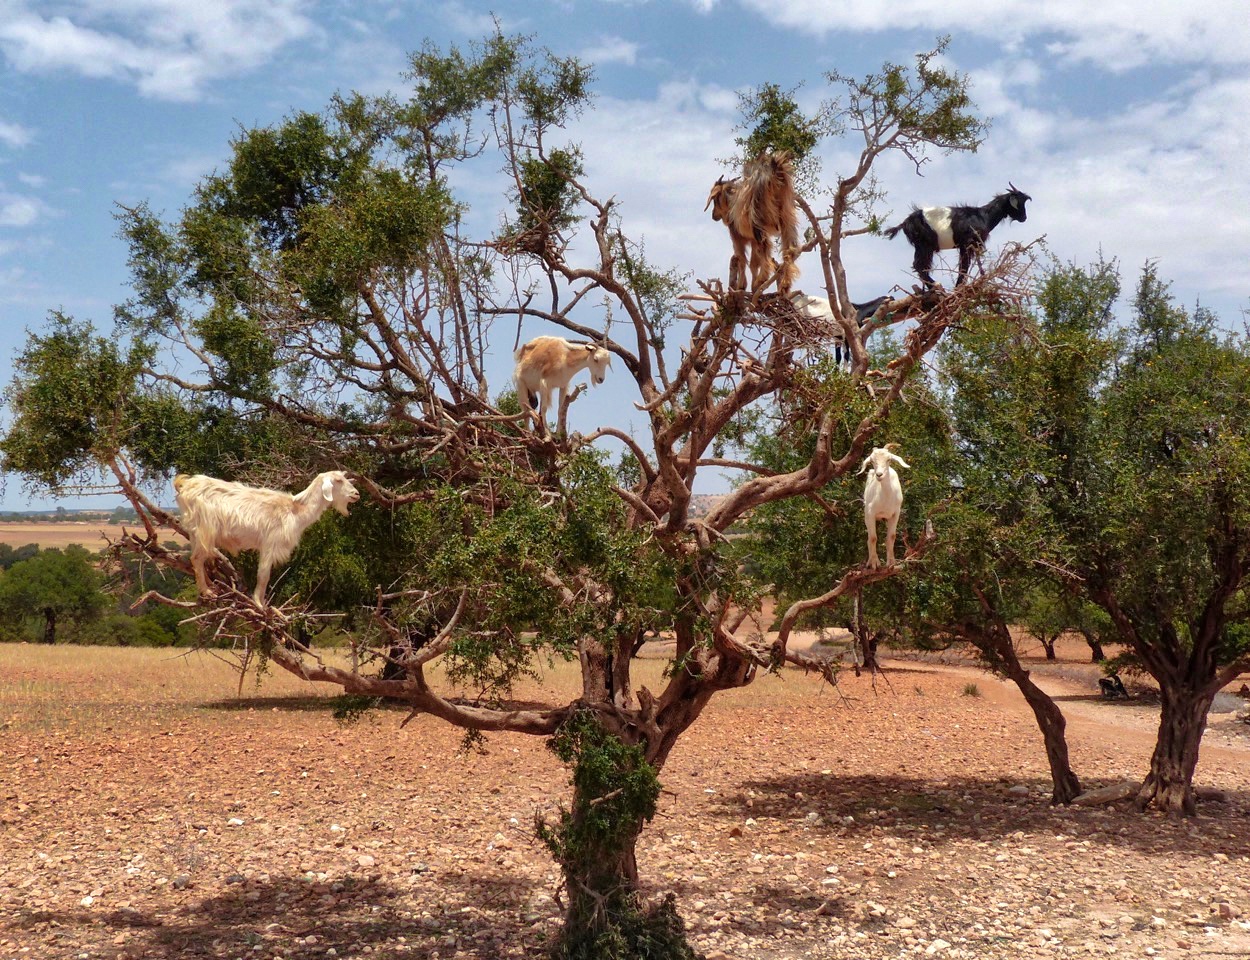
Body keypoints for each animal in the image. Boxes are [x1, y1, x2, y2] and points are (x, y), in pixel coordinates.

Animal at [171, 470, 360, 605]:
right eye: (338, 480)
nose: (356, 494)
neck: (295, 510)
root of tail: (185, 485)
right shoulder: (270, 543)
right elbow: (263, 575)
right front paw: (259, 604)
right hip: (205, 529)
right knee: (196, 558)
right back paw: (207, 591)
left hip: (195, 533)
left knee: (197, 559)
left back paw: (209, 586)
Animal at [705, 147, 800, 292]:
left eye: (715, 199)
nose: (713, 215)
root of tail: (774, 172)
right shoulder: (752, 239)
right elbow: (754, 262)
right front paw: (753, 286)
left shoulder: (737, 236)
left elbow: (743, 259)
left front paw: (743, 285)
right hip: (786, 215)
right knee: (789, 249)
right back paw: (785, 284)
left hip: (757, 218)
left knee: (765, 246)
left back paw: (763, 278)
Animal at [860, 447, 910, 575]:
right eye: (872, 461)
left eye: (888, 460)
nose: (879, 475)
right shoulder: (870, 513)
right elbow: (873, 538)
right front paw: (874, 563)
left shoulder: (895, 513)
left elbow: (891, 536)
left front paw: (891, 562)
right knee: (869, 538)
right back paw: (869, 562)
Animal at [885, 185, 1030, 287]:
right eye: (1018, 202)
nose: (1024, 218)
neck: (983, 216)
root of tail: (905, 223)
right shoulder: (969, 243)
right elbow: (964, 267)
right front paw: (958, 288)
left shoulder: (965, 246)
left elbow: (965, 266)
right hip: (925, 244)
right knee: (919, 265)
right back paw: (936, 287)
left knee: (921, 266)